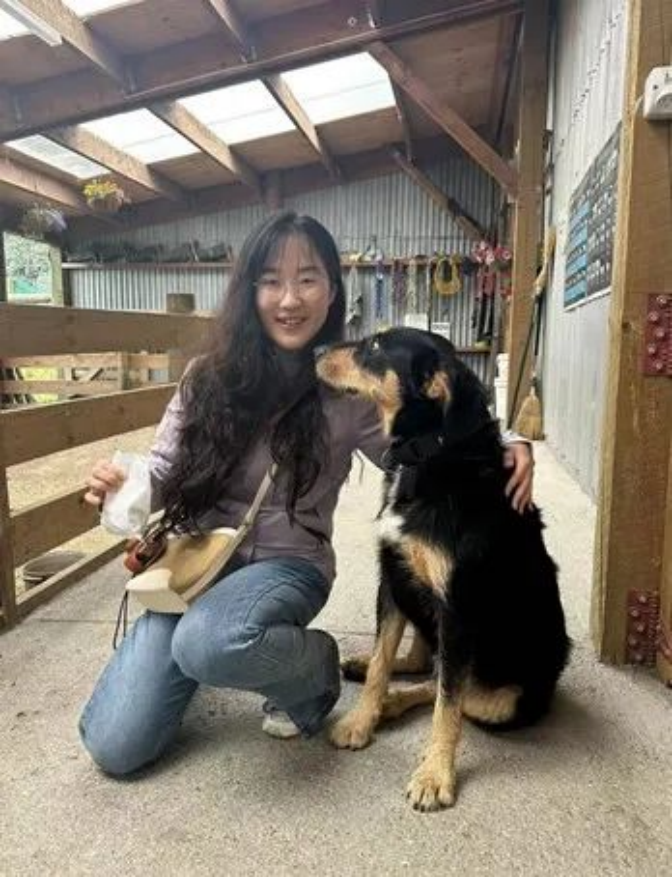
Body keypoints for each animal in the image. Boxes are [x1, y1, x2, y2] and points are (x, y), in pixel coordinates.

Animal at [315, 328, 570, 811]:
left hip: (510, 700)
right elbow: (381, 663)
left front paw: (435, 775)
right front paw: (360, 721)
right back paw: (375, 683)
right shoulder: (391, 578)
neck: (426, 454)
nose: (316, 350)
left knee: (454, 688)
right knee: (424, 665)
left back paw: (398, 707)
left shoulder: (458, 608)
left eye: (374, 347)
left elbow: (447, 705)